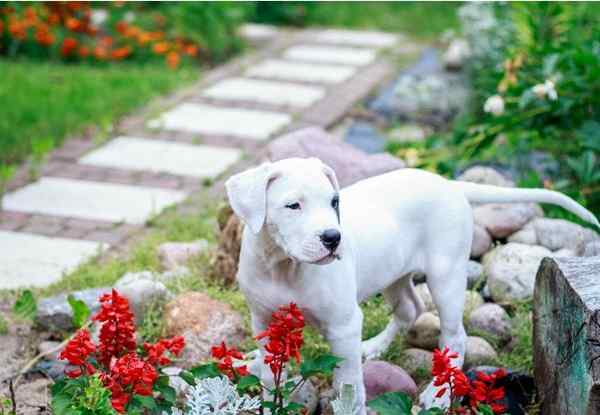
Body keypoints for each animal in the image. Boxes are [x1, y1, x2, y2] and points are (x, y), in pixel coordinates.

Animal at [226, 157, 600, 412]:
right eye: (293, 206)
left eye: (334, 202)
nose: (333, 238)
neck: (283, 265)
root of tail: (451, 185)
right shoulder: (264, 321)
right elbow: (271, 370)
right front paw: (270, 397)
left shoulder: (343, 326)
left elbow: (348, 384)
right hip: (394, 272)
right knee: (410, 308)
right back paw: (374, 347)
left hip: (446, 276)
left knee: (454, 336)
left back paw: (438, 395)